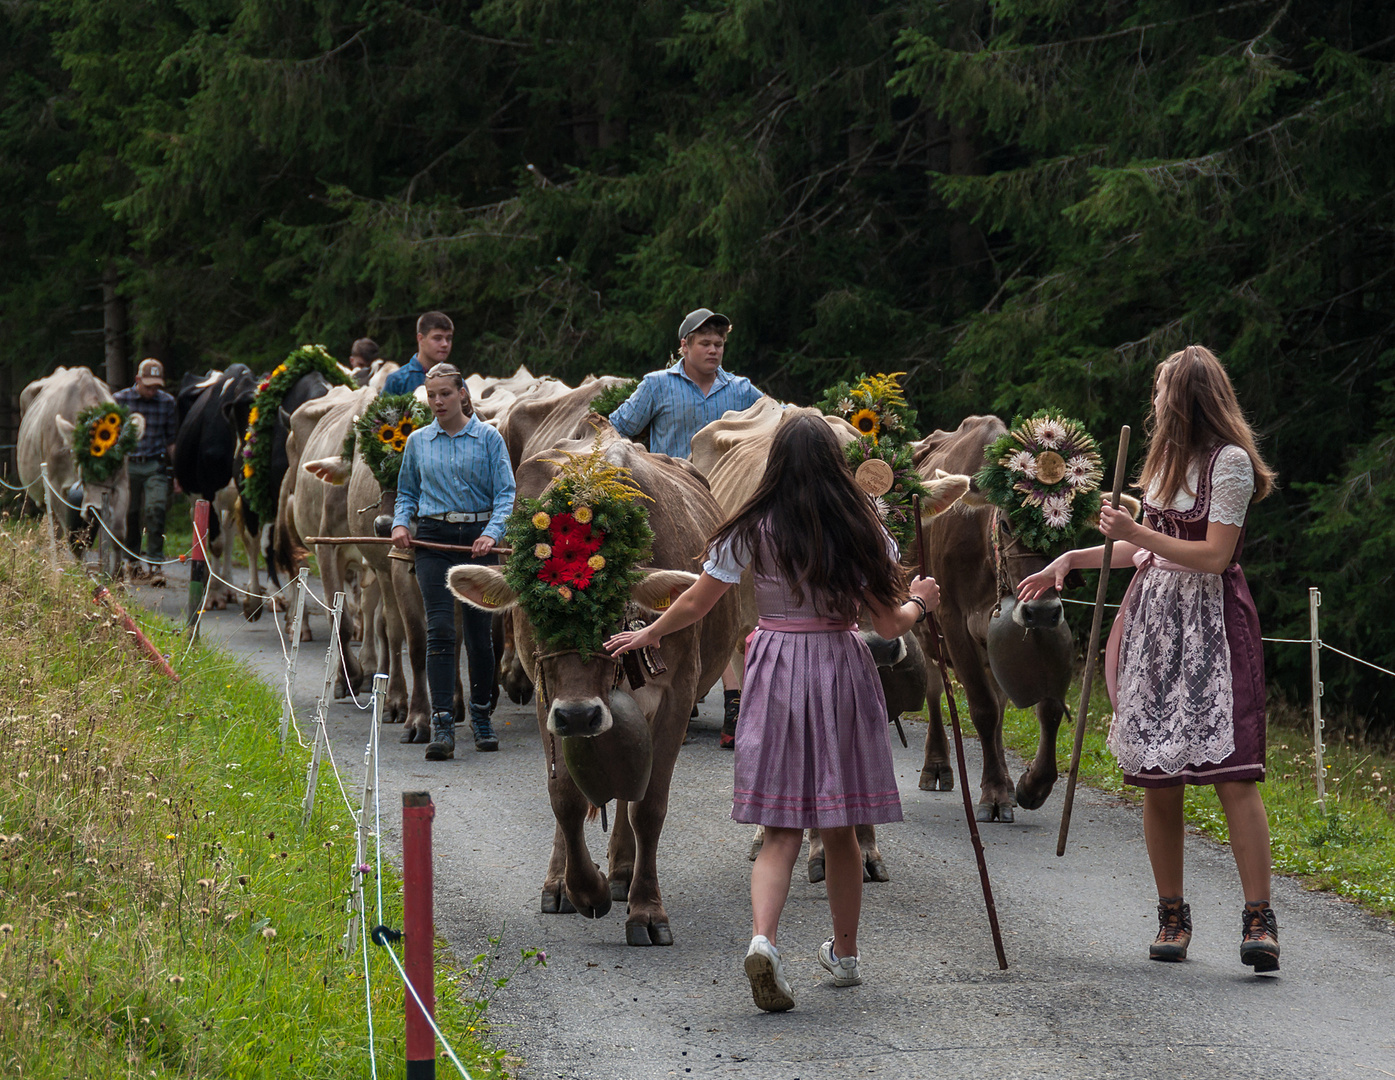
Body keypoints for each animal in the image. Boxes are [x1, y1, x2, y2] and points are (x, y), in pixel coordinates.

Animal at [451, 424, 747, 948]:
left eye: (612, 613)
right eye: (533, 611)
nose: (578, 715)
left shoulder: (677, 696)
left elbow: (648, 806)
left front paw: (646, 910)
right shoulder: (548, 696)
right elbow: (564, 799)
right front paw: (583, 889)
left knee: (631, 794)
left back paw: (624, 870)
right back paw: (562, 881)